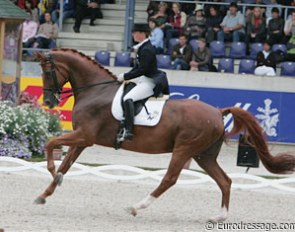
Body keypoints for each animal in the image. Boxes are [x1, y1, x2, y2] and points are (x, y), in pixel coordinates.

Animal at [35, 49, 295, 223]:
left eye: (47, 71)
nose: (49, 101)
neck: (95, 91)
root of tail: (218, 112)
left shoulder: (84, 136)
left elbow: (50, 144)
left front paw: (52, 172)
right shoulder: (82, 140)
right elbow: (66, 164)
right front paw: (44, 194)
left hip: (184, 149)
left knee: (169, 179)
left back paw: (136, 207)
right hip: (204, 155)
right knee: (224, 181)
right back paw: (219, 217)